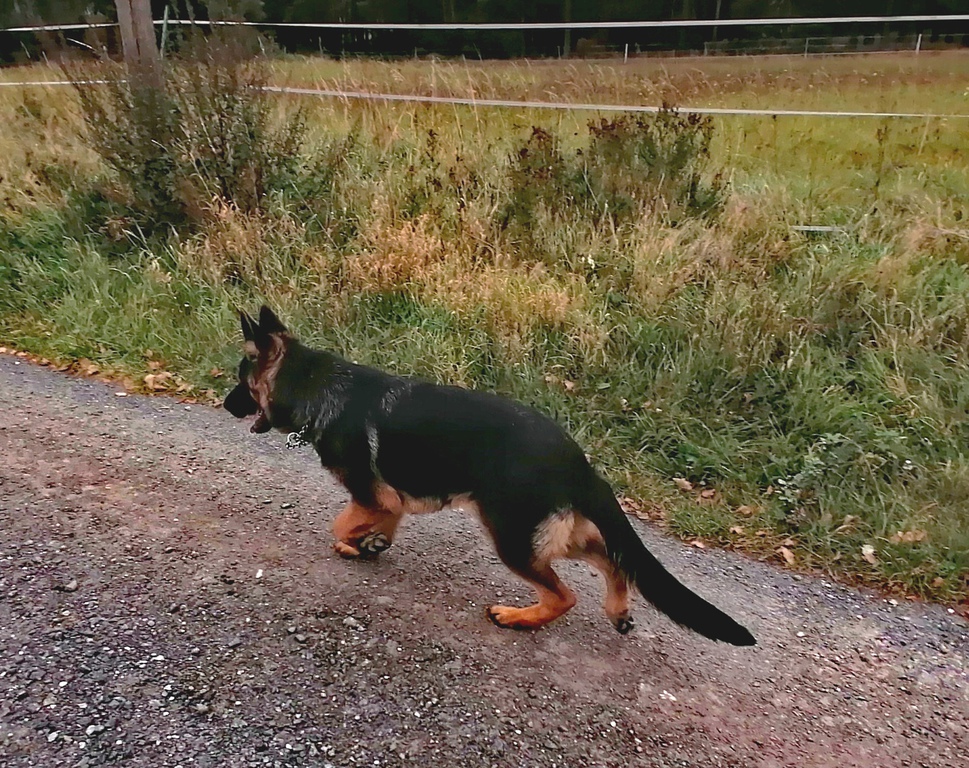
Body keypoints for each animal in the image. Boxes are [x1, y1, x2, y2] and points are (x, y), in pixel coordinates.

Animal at [223, 306, 755, 645]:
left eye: (240, 381)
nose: (226, 404)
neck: (316, 384)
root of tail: (579, 463)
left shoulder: (369, 493)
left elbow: (341, 523)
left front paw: (354, 542)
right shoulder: (388, 498)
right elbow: (379, 522)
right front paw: (369, 545)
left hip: (512, 537)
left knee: (565, 595)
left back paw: (518, 618)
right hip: (553, 533)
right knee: (613, 560)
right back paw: (618, 610)